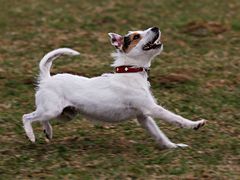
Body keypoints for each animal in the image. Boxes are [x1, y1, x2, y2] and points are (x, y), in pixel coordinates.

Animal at [23, 26, 206, 149]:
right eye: (136, 36)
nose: (155, 27)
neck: (131, 71)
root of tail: (47, 78)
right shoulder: (152, 109)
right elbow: (176, 118)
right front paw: (195, 124)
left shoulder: (143, 117)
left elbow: (159, 135)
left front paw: (173, 146)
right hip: (52, 110)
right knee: (27, 117)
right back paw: (31, 135)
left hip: (65, 114)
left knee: (41, 119)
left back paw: (48, 131)